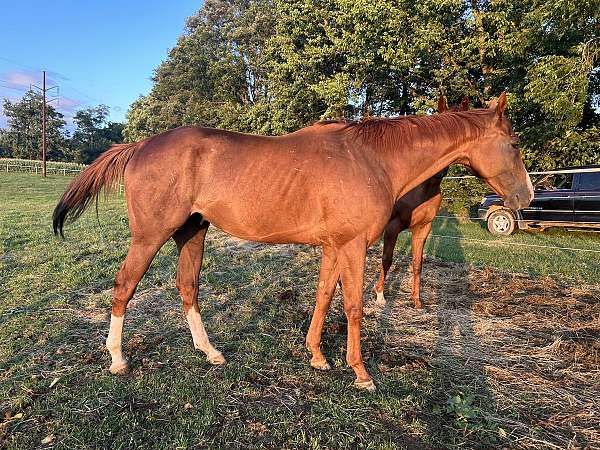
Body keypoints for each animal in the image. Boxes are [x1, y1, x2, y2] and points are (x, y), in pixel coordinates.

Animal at [376, 96, 468, 308]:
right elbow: (387, 259)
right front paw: (380, 295)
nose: (440, 170)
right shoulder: (392, 227)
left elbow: (418, 263)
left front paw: (416, 299)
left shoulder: (423, 228)